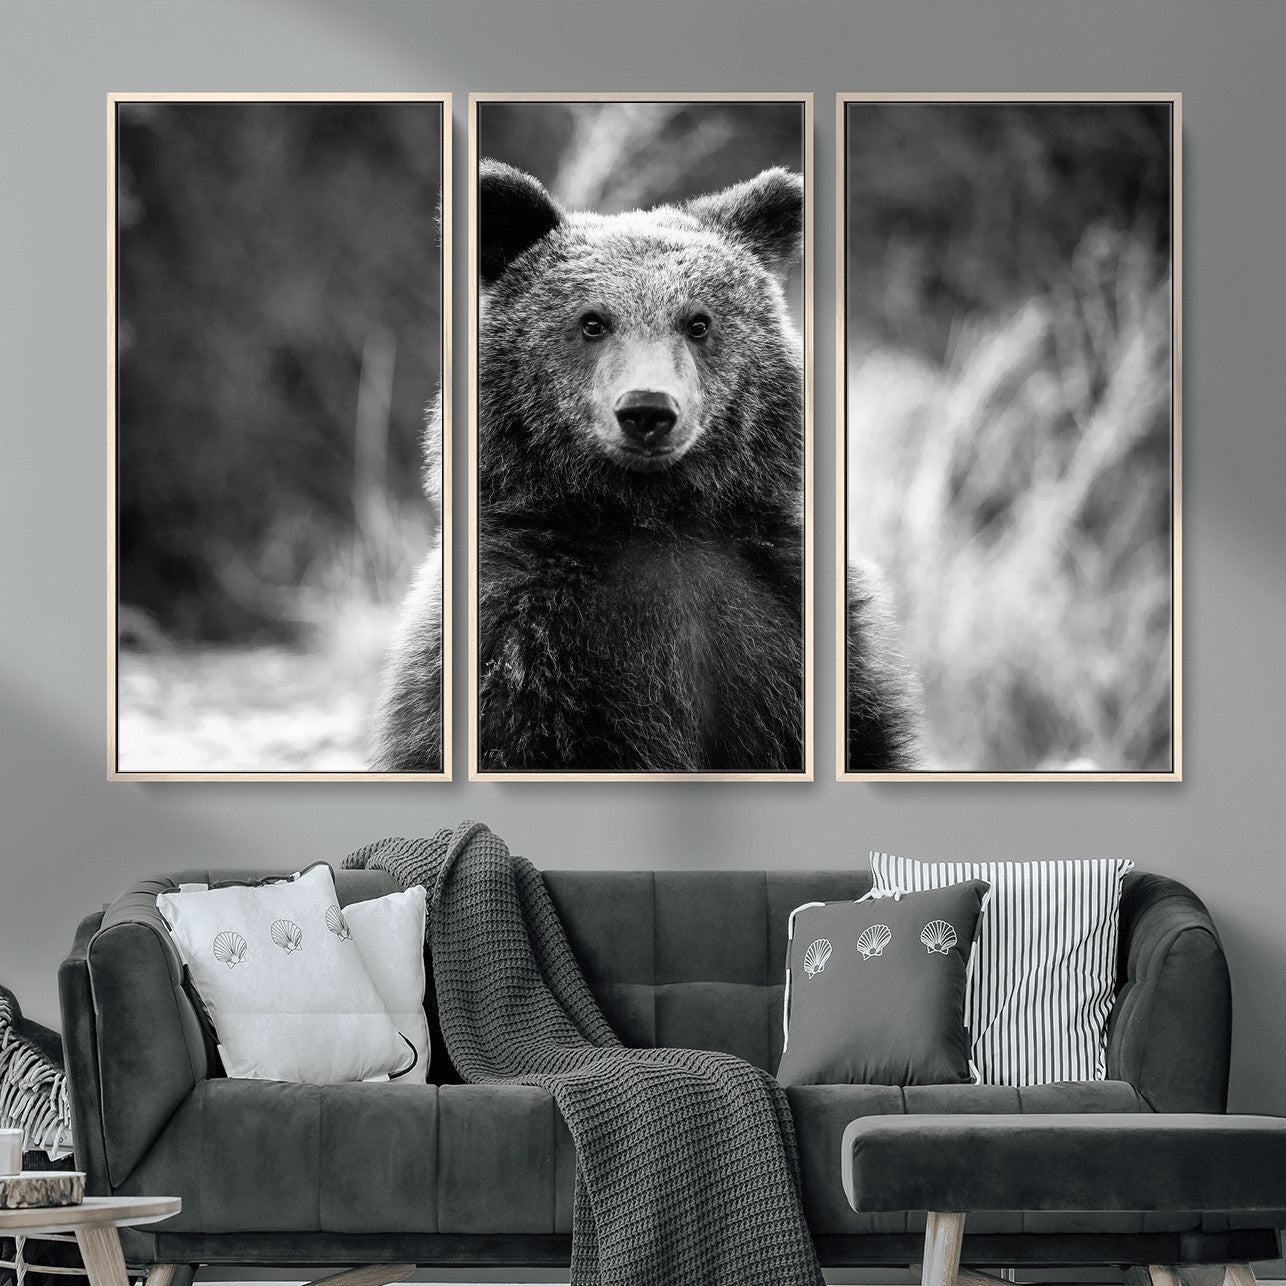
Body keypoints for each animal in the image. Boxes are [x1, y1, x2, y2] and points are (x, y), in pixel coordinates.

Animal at [372, 158, 920, 773]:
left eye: (698, 322)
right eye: (592, 321)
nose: (647, 410)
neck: (653, 515)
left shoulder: (784, 609)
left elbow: (866, 734)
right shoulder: (523, 635)